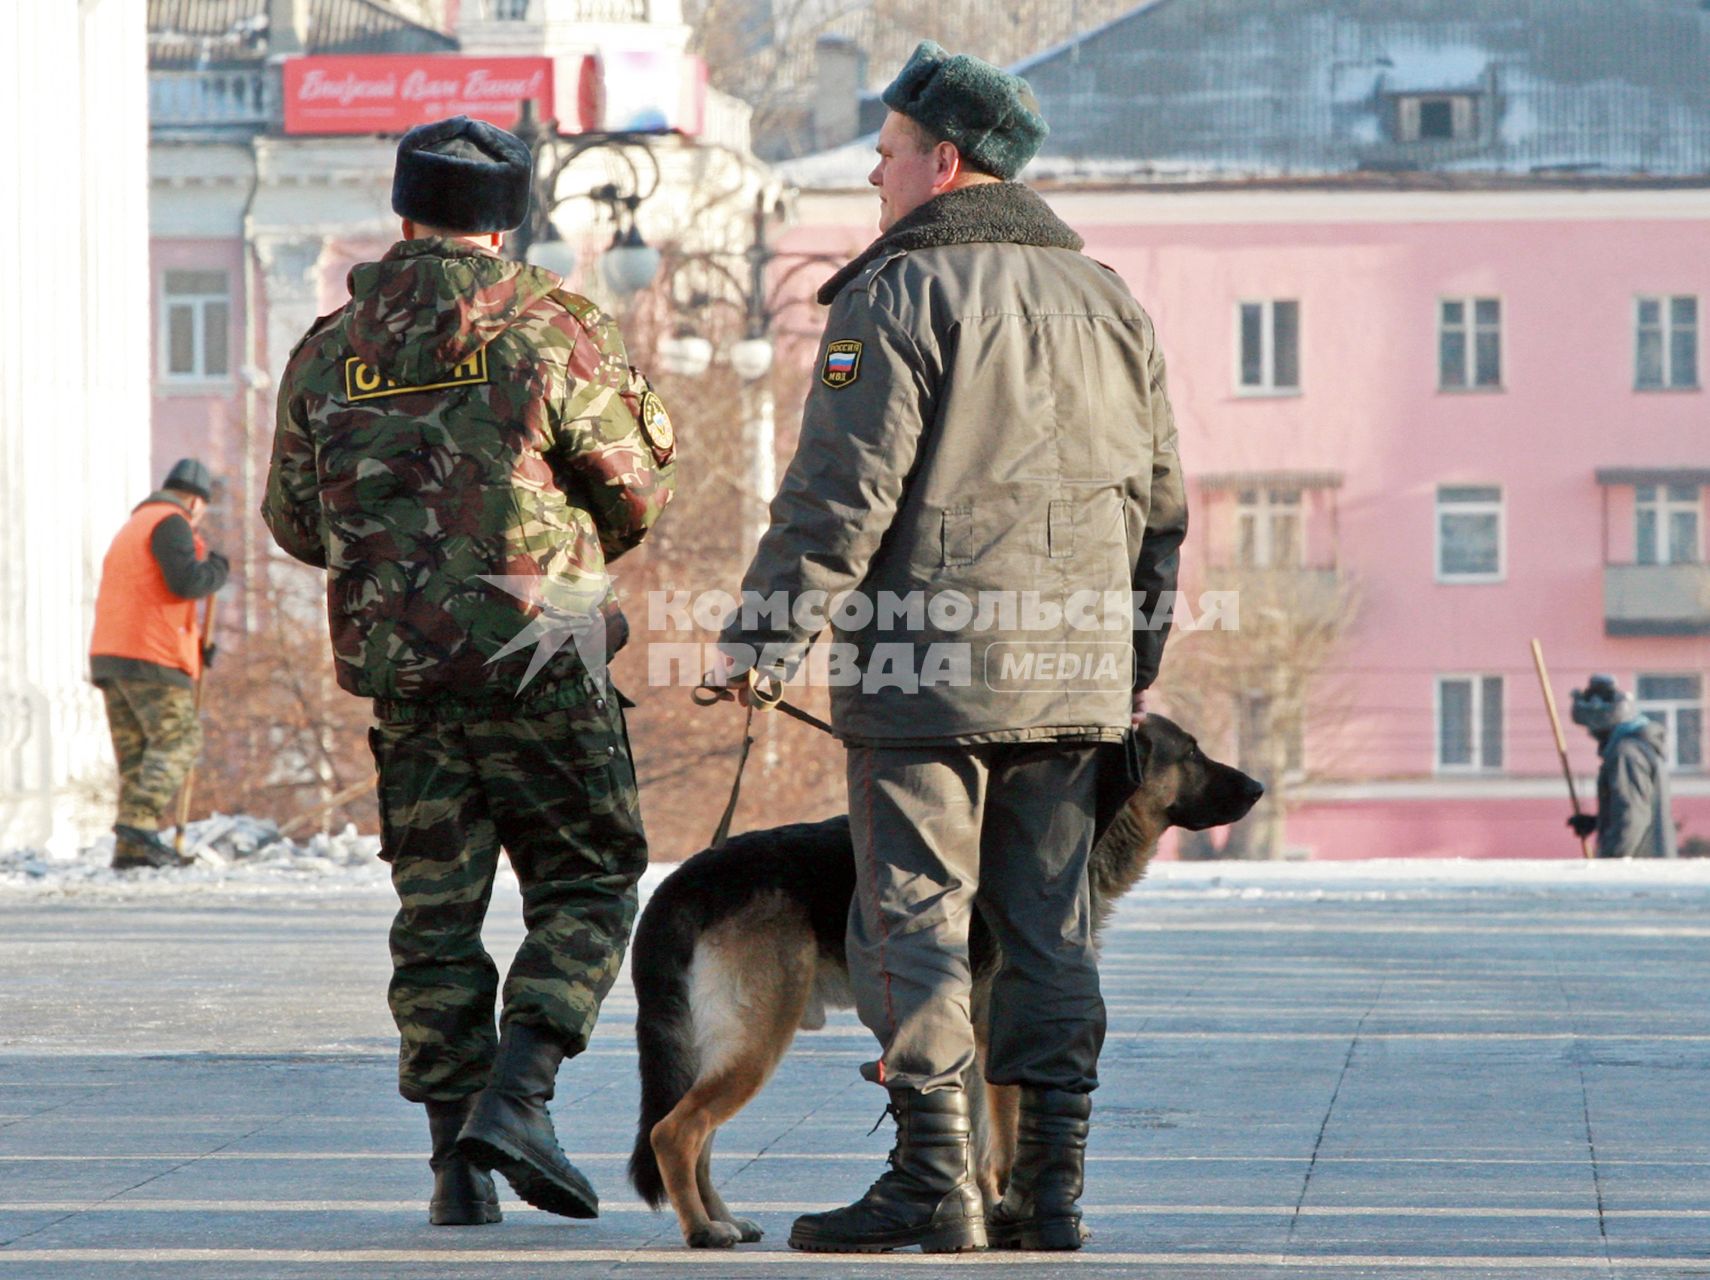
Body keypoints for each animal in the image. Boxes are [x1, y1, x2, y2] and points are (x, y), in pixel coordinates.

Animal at [629, 717, 1272, 1250]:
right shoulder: (996, 1035)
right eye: (1192, 752)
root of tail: (685, 878)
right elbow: (1004, 1140)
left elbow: (978, 1138)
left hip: (731, 1044)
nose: (1259, 788)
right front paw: (1009, 1213)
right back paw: (702, 1230)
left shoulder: (973, 1041)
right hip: (758, 1040)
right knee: (674, 1133)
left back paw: (723, 1219)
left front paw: (983, 1214)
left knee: (698, 1136)